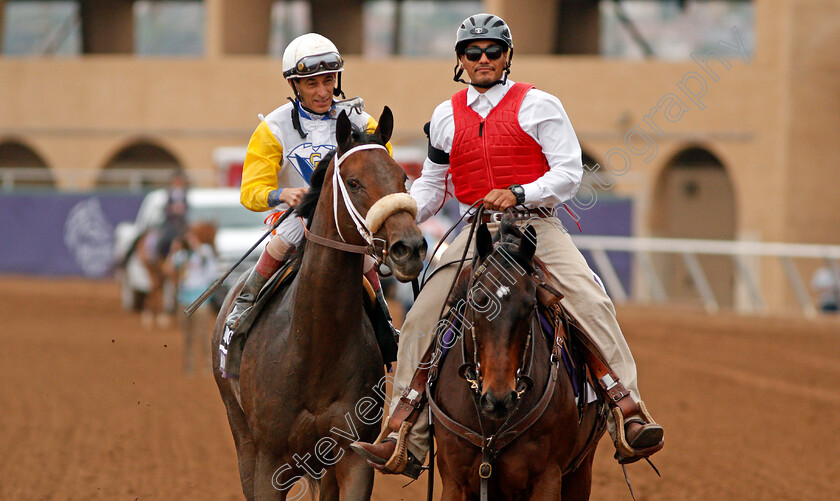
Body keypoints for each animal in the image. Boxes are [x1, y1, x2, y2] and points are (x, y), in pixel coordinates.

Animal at [212, 107, 426, 498]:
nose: (411, 247)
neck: (314, 344)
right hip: (242, 435)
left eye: (403, 177)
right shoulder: (269, 460)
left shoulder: (352, 456)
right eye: (354, 182)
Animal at [430, 219, 608, 500]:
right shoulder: (454, 481)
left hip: (580, 473)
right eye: (477, 301)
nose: (499, 398)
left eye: (530, 305)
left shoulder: (548, 477)